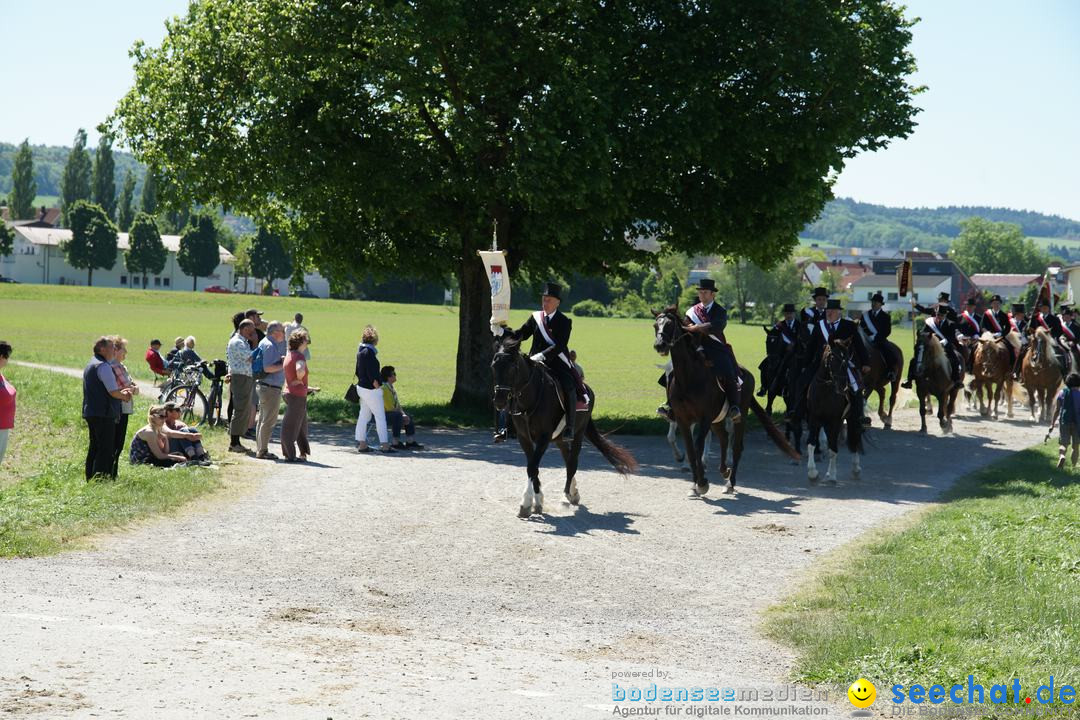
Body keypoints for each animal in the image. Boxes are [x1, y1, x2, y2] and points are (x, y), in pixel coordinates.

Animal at [492, 338, 635, 518]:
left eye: (512, 367)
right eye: (493, 366)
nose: (499, 401)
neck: (531, 397)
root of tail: (587, 388)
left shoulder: (544, 437)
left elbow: (532, 467)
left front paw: (526, 503)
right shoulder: (524, 438)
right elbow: (533, 467)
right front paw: (537, 501)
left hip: (578, 433)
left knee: (572, 462)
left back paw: (566, 496)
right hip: (559, 439)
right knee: (567, 460)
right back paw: (574, 493)